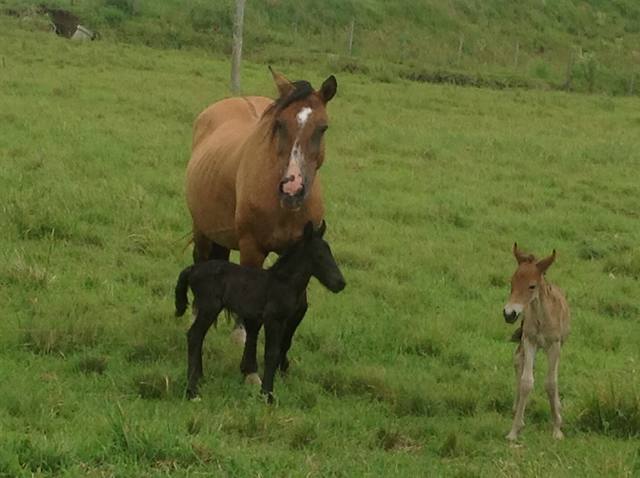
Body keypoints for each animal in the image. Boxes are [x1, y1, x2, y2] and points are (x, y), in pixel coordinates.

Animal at [174, 222, 344, 402]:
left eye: (330, 252)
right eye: (319, 256)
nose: (340, 283)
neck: (283, 283)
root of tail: (192, 269)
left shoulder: (284, 321)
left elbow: (281, 348)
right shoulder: (273, 320)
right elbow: (271, 353)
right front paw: (267, 395)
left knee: (197, 336)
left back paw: (199, 379)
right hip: (209, 307)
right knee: (194, 335)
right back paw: (192, 391)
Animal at [504, 245, 568, 442]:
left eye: (532, 286)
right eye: (511, 282)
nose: (509, 314)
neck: (542, 318)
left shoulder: (554, 345)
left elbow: (551, 383)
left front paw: (557, 429)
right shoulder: (529, 340)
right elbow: (526, 382)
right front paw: (514, 430)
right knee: (519, 361)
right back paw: (516, 407)